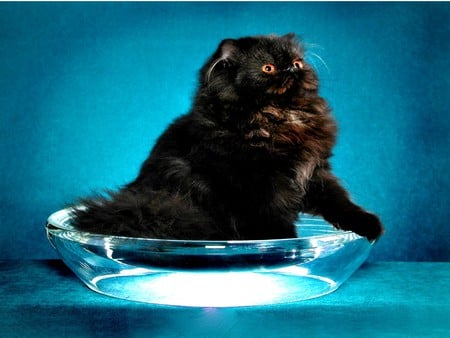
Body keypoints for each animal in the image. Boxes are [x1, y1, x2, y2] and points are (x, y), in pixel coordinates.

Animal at [72, 33, 384, 240]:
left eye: (297, 63)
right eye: (268, 68)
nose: (291, 69)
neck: (281, 116)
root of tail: (135, 195)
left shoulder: (315, 172)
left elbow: (340, 201)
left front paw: (368, 225)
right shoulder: (255, 179)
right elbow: (270, 212)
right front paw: (285, 242)